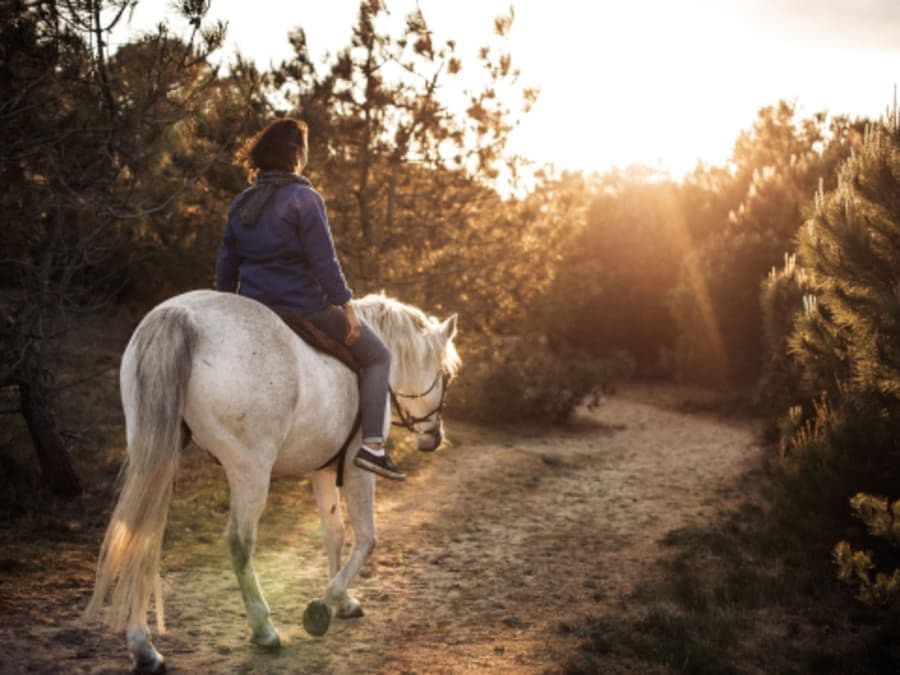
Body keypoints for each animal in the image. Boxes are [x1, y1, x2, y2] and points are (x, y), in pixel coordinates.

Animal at [85, 290, 459, 673]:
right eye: (445, 374)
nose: (435, 437)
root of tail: (179, 314)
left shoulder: (323, 468)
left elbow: (334, 532)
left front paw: (343, 602)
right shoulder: (357, 468)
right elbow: (367, 537)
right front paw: (324, 606)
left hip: (159, 456)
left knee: (144, 534)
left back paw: (144, 648)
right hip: (250, 469)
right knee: (239, 541)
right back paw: (263, 629)